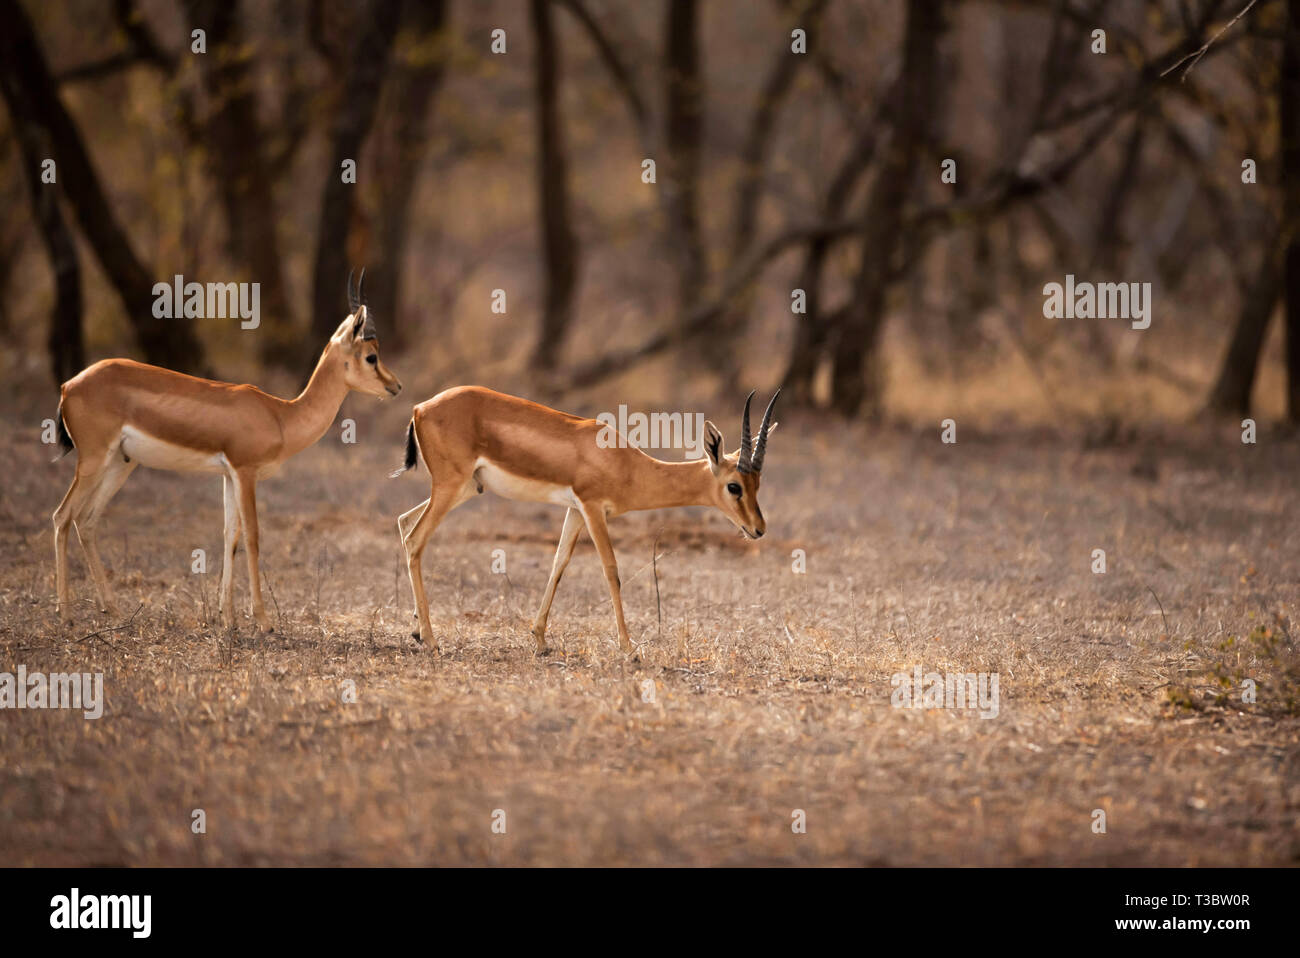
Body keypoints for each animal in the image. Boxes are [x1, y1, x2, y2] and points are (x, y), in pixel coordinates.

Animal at [51, 270, 402, 629]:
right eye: (371, 356)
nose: (396, 386)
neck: (281, 416)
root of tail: (69, 386)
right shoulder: (246, 472)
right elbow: (252, 537)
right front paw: (263, 620)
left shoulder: (228, 475)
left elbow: (229, 536)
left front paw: (228, 617)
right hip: (93, 460)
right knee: (62, 515)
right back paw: (65, 614)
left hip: (121, 463)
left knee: (87, 521)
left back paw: (113, 609)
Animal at [392, 388, 779, 655]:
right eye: (734, 486)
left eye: (758, 484)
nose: (758, 529)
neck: (627, 464)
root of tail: (420, 408)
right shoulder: (593, 509)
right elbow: (611, 570)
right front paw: (629, 647)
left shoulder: (575, 511)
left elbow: (558, 563)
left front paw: (540, 639)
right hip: (451, 486)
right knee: (415, 538)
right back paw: (431, 640)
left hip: (467, 488)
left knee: (404, 521)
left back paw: (416, 629)